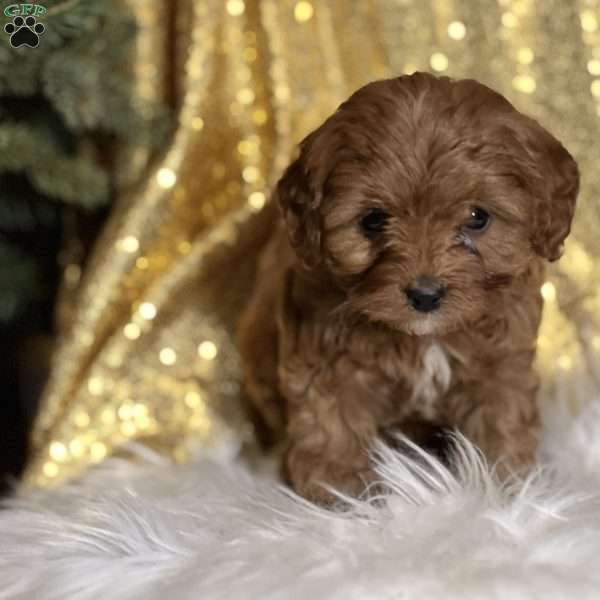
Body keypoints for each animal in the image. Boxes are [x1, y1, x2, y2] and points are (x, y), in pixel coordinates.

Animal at [237, 72, 580, 504]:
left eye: (478, 217)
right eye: (372, 220)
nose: (425, 295)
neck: (421, 339)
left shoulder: (501, 360)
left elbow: (502, 418)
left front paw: (502, 488)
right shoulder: (324, 356)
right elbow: (330, 423)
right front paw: (341, 492)